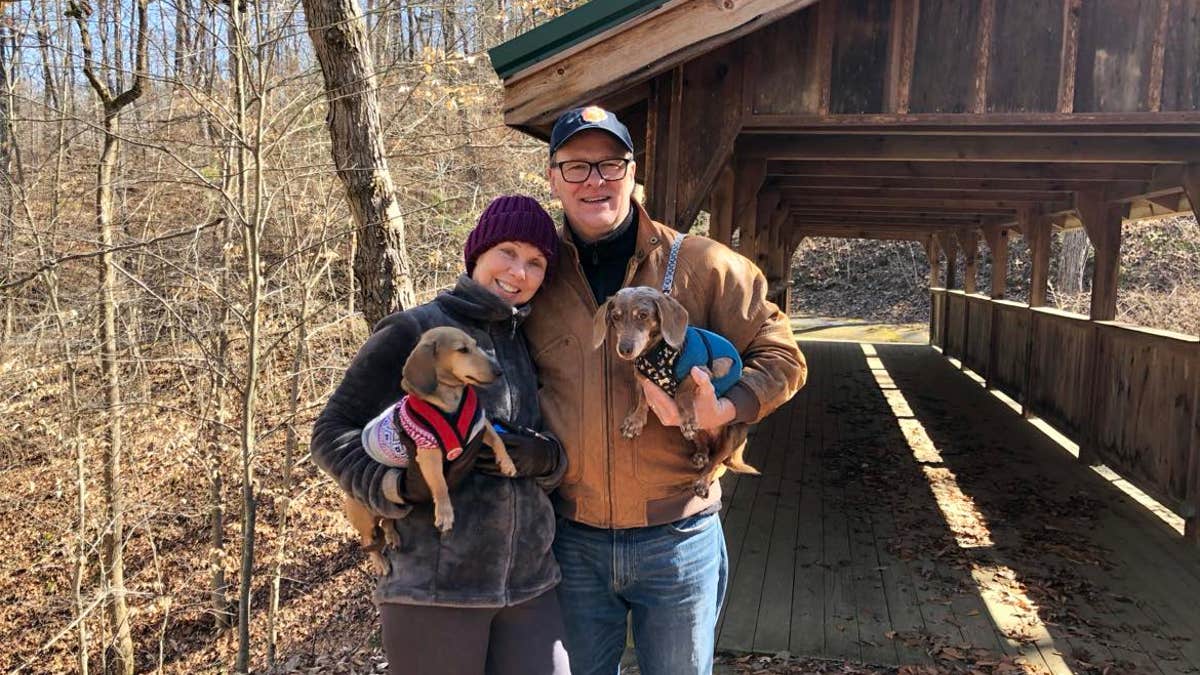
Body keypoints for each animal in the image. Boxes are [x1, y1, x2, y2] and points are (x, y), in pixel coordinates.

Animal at [345, 326, 518, 571]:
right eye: (462, 350)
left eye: (475, 344)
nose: (499, 371)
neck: (450, 403)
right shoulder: (428, 456)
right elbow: (440, 485)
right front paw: (445, 514)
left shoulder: (479, 426)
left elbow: (498, 440)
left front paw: (507, 463)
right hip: (365, 517)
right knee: (368, 540)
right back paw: (380, 561)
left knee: (387, 522)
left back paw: (393, 537)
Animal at [592, 285, 758, 497]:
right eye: (615, 316)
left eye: (643, 315)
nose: (625, 349)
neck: (654, 353)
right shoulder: (641, 376)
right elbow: (641, 396)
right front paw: (635, 420)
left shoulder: (705, 370)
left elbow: (681, 391)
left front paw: (686, 418)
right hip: (699, 437)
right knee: (704, 448)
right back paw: (700, 455)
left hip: (733, 433)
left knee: (716, 462)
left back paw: (703, 481)